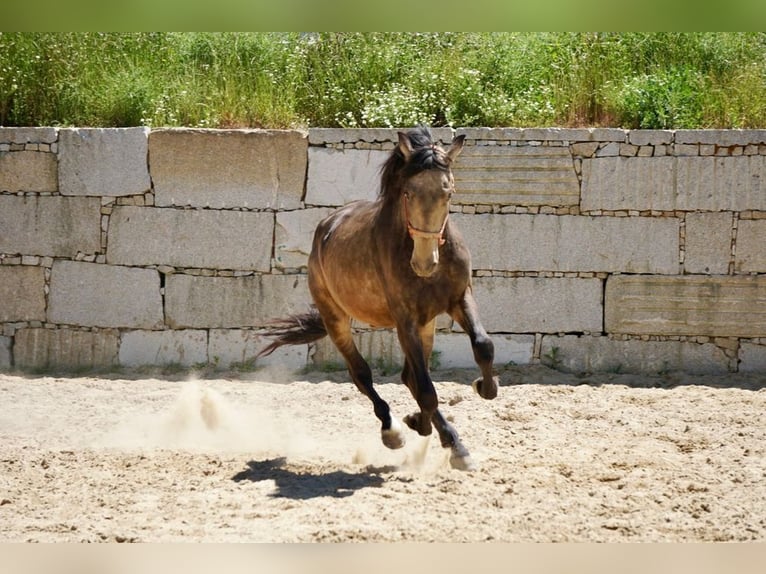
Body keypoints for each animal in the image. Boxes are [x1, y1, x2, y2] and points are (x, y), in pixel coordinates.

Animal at [258, 126, 498, 472]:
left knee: (411, 376)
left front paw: (484, 387)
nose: (424, 263)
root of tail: (326, 226)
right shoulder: (404, 319)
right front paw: (422, 428)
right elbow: (426, 390)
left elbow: (482, 346)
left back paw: (443, 437)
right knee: (364, 375)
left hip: (426, 324)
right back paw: (394, 431)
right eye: (408, 193)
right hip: (336, 318)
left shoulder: (458, 299)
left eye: (448, 193)